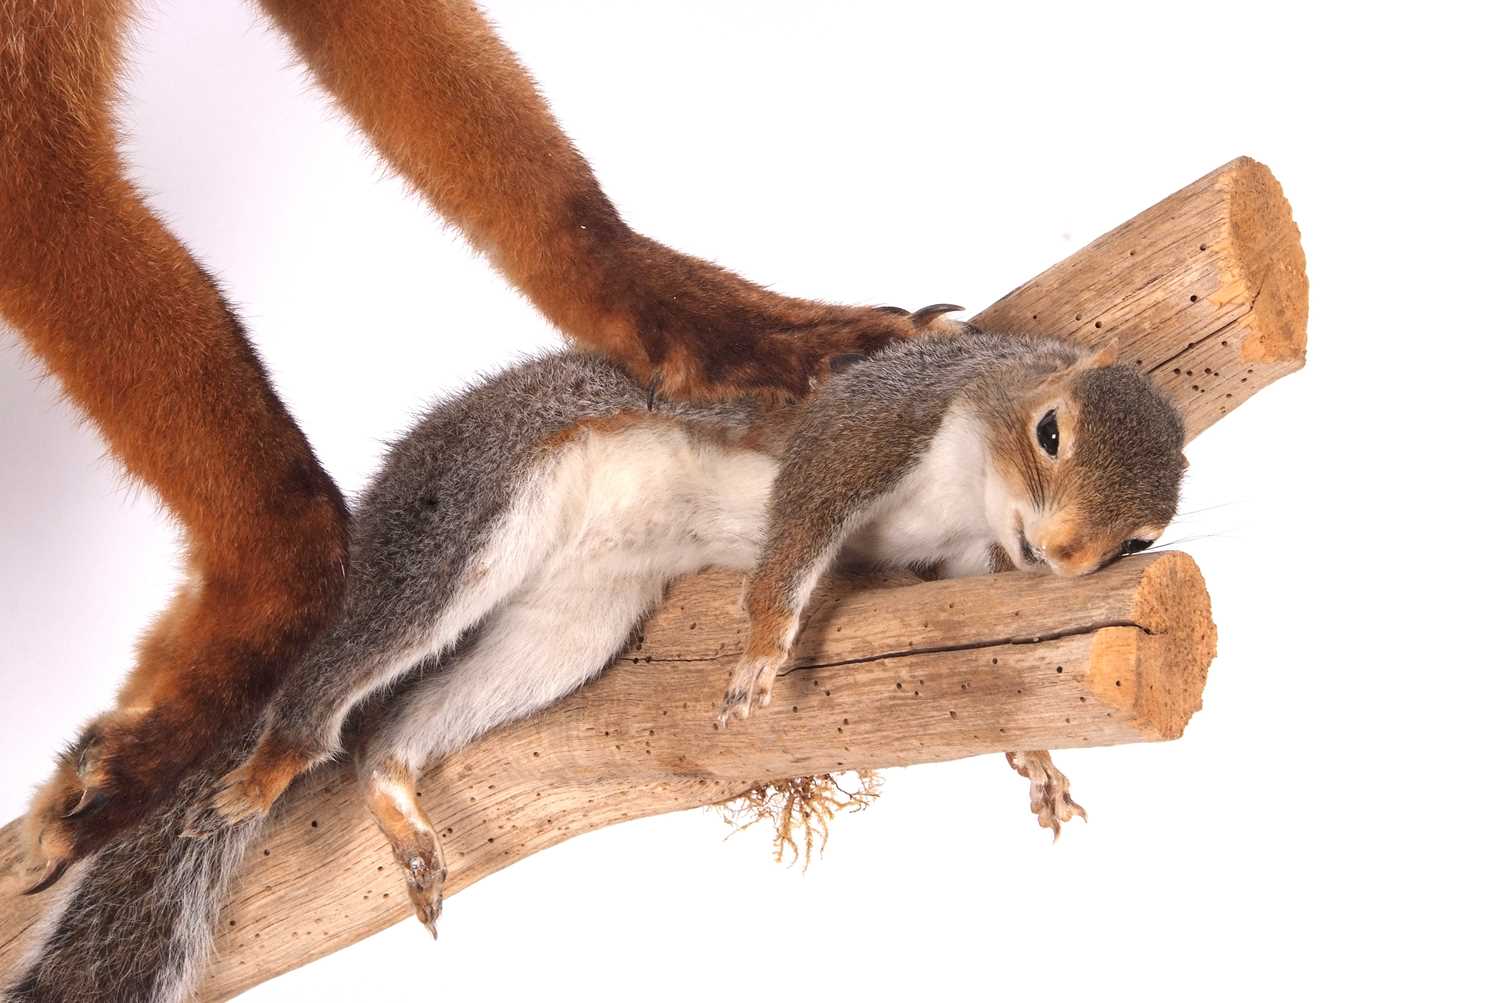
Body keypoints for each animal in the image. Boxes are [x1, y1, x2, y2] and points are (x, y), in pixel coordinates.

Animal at [2, 322, 1182, 1001]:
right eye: (1052, 432)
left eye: (1142, 538)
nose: (1066, 555)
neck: (977, 484)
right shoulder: (873, 421)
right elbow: (802, 520)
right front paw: (763, 646)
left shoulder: (969, 565)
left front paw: (1036, 761)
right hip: (482, 510)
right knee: (349, 670)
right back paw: (277, 756)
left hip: (569, 626)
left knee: (393, 731)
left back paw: (393, 792)